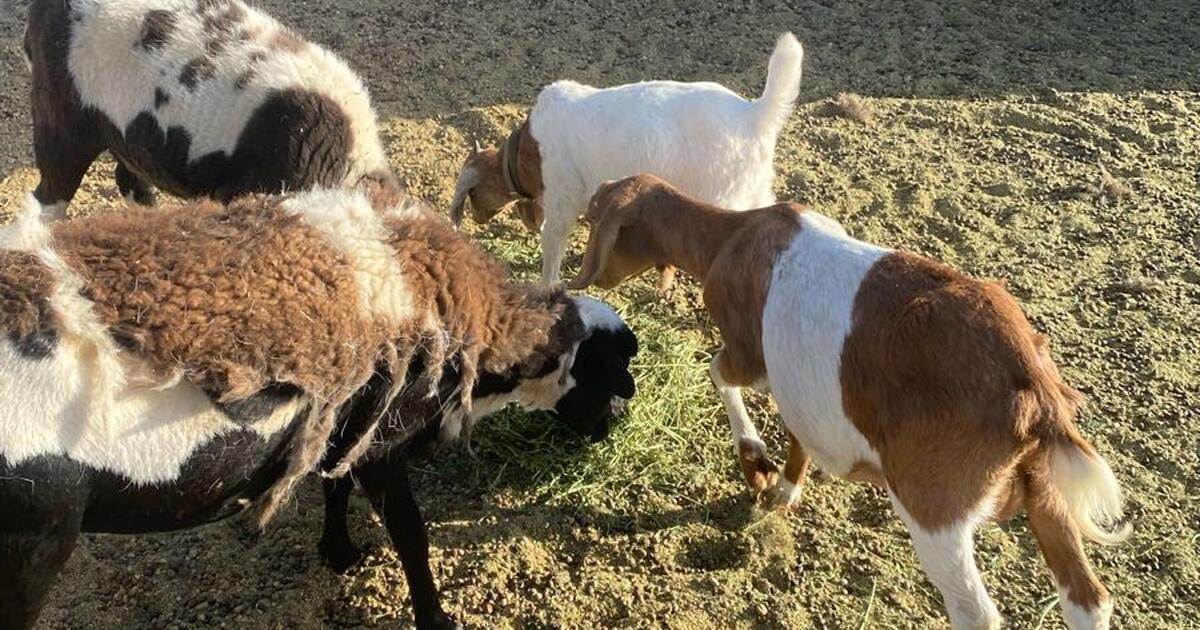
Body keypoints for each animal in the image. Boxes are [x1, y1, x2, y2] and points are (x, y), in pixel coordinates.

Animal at [0, 189, 639, 630]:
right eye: (611, 368)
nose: (609, 431)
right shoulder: (383, 438)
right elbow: (411, 535)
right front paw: (434, 617)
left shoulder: (343, 420)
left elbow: (334, 484)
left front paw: (338, 553)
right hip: (32, 541)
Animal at [448, 32, 805, 286]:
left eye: (473, 194)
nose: (477, 220)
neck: (527, 151)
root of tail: (755, 114)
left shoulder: (562, 199)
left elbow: (552, 245)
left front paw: (547, 284)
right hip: (755, 188)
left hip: (723, 196)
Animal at [567, 174, 1130, 630]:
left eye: (594, 217)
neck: (730, 238)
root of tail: (1033, 387)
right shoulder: (798, 386)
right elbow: (799, 430)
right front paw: (785, 489)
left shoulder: (749, 353)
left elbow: (717, 371)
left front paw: (756, 463)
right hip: (1045, 490)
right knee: (1088, 599)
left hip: (936, 507)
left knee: (976, 613)